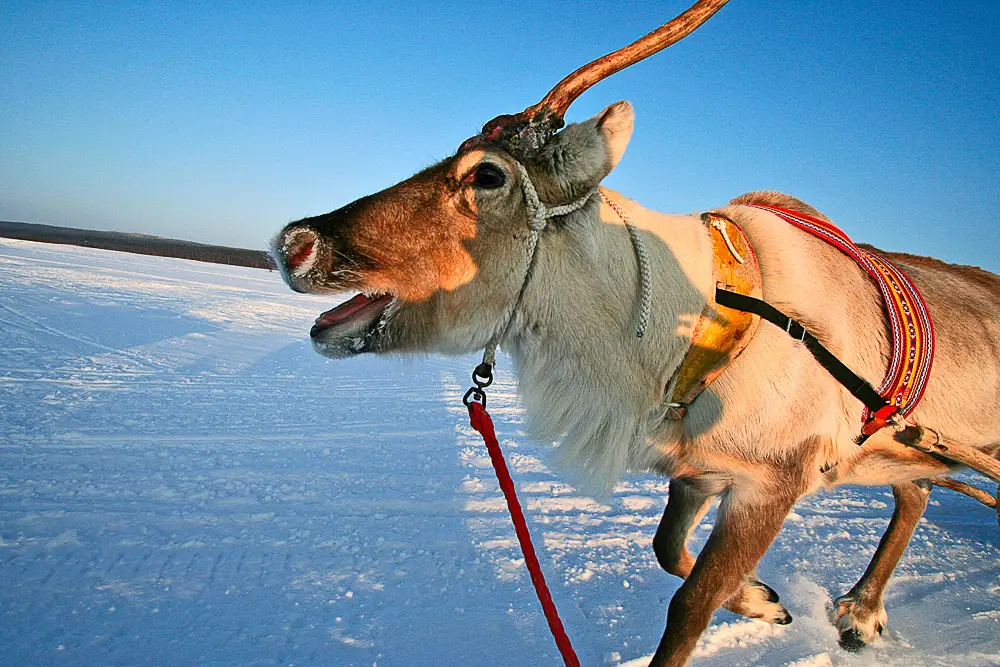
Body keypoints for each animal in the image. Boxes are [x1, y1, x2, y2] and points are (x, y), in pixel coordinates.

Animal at [270, 1, 1000, 665]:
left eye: (486, 174)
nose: (295, 243)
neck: (684, 338)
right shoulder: (698, 472)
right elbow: (668, 552)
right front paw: (763, 597)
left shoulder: (773, 481)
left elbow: (691, 604)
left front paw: (747, 596)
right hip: (913, 452)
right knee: (917, 487)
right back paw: (861, 613)